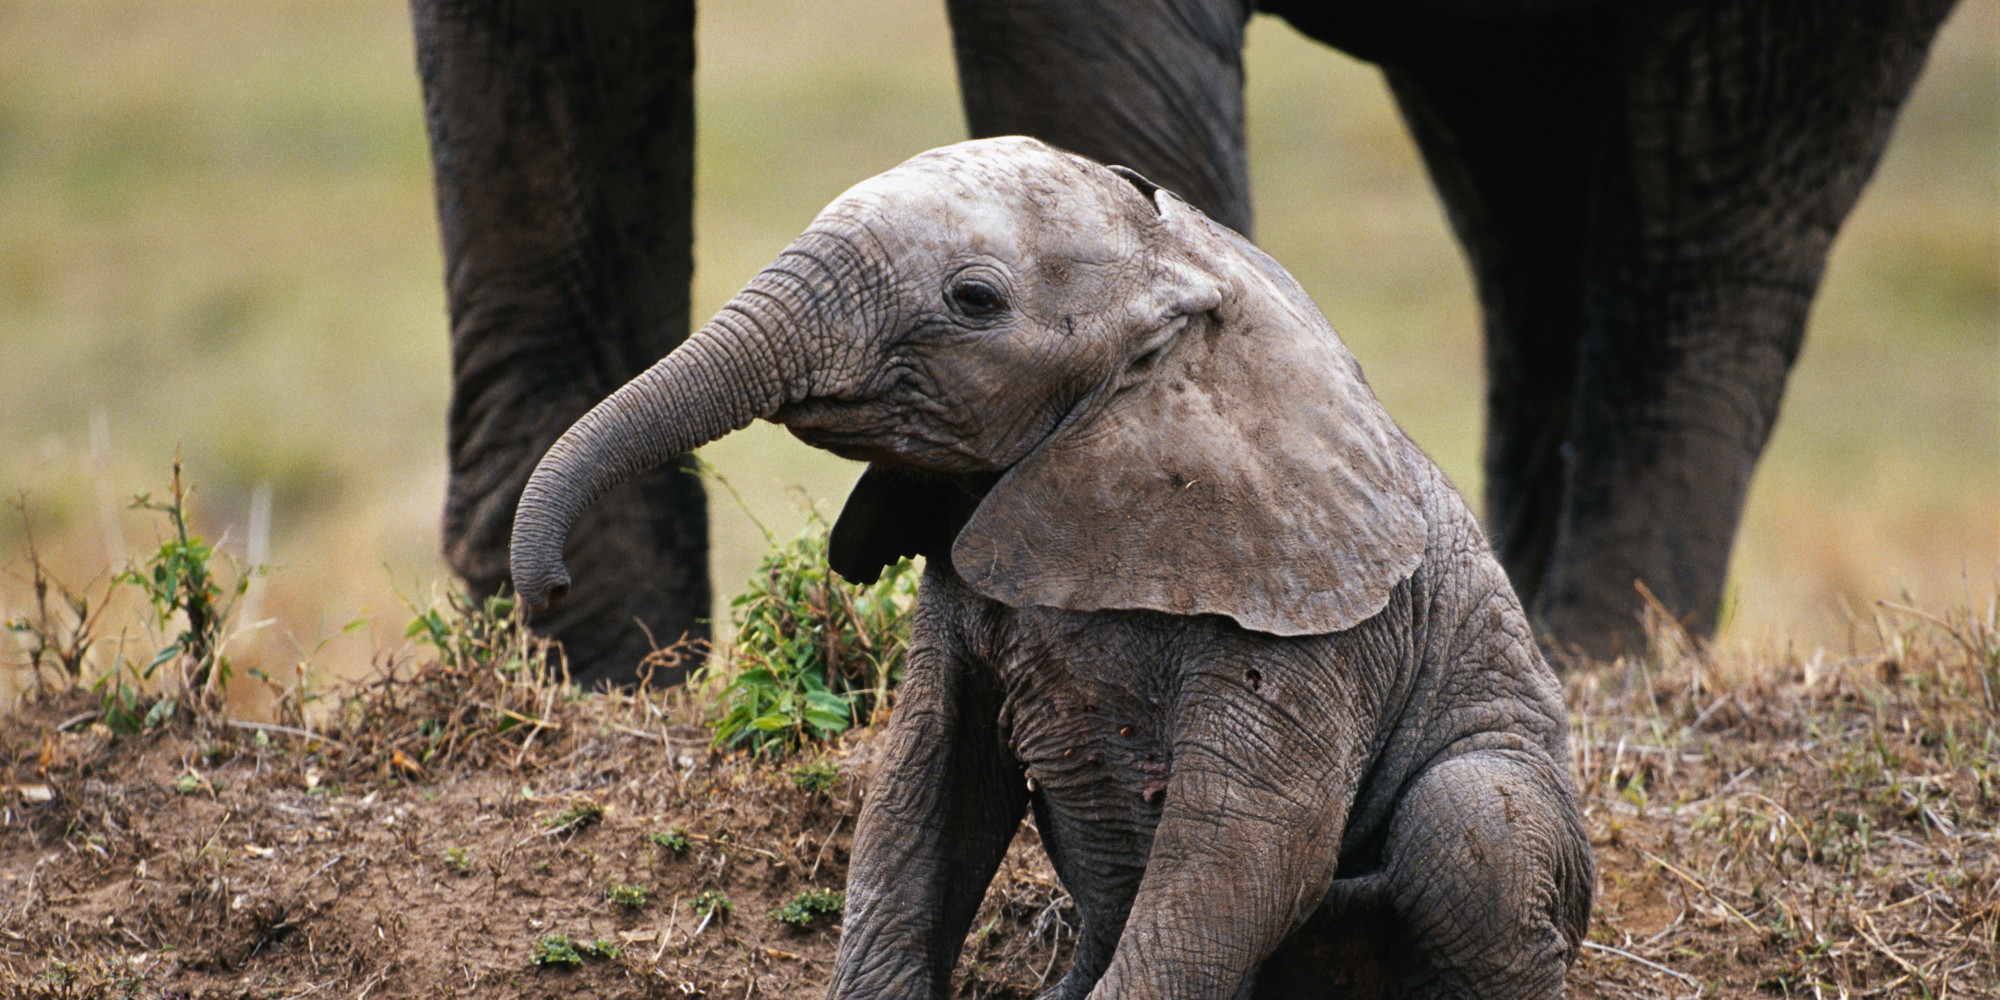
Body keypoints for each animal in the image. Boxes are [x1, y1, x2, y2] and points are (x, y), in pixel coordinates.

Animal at [511, 138, 1596, 998]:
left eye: (974, 299)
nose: (546, 591)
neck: (1178, 276)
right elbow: (923, 795)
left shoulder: (1317, 618)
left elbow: (1246, 855)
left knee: (1469, 830)